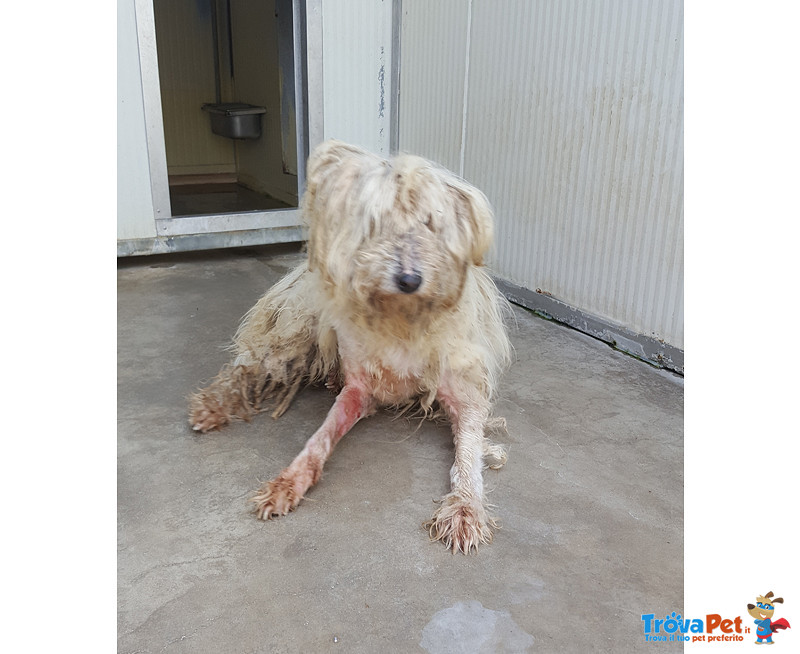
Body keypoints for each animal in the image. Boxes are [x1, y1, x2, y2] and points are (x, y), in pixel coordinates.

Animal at [191, 141, 510, 556]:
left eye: (429, 222)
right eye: (377, 222)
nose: (409, 279)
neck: (402, 319)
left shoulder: (466, 394)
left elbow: (468, 457)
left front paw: (466, 508)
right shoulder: (359, 390)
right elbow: (319, 437)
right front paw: (288, 480)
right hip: (296, 333)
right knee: (248, 366)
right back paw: (213, 405)